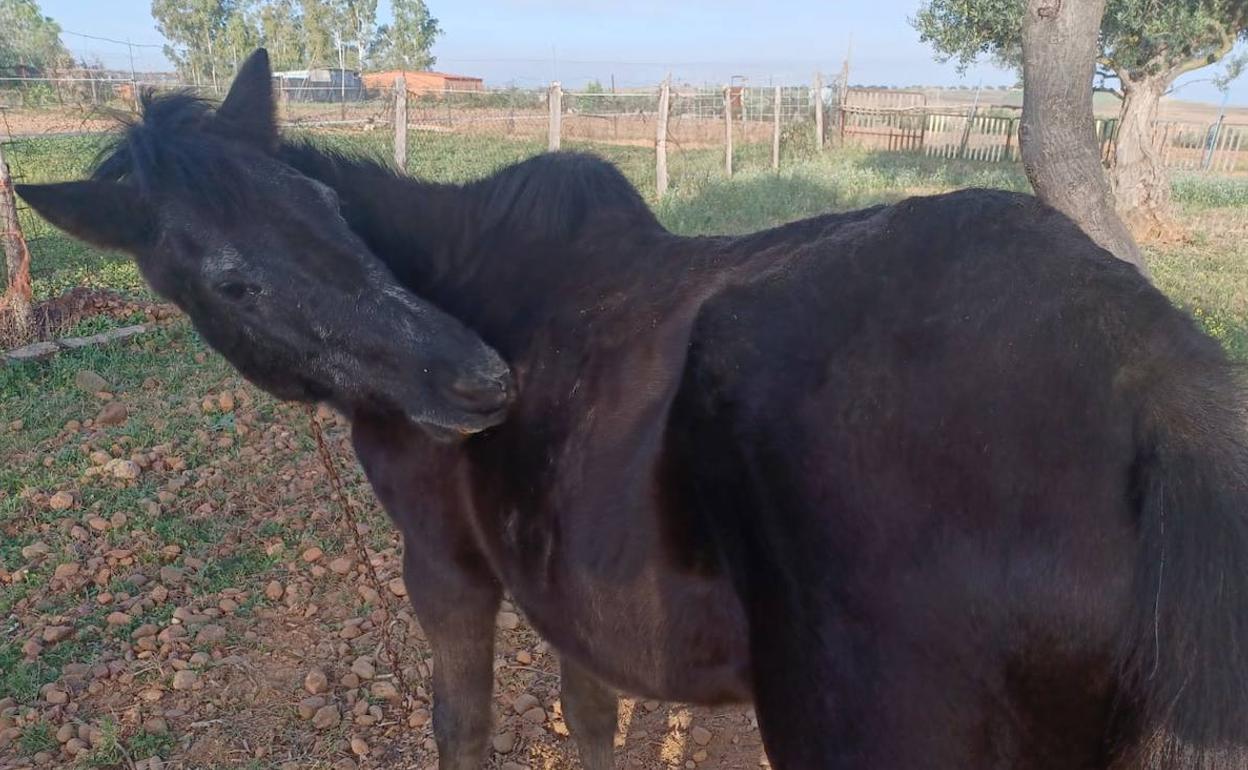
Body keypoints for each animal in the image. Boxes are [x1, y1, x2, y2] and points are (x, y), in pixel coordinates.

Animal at [19, 49, 1248, 770]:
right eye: (228, 278)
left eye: (325, 207)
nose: (477, 380)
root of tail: (1156, 376)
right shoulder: (579, 598)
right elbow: (594, 719)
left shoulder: (449, 573)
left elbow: (465, 726)